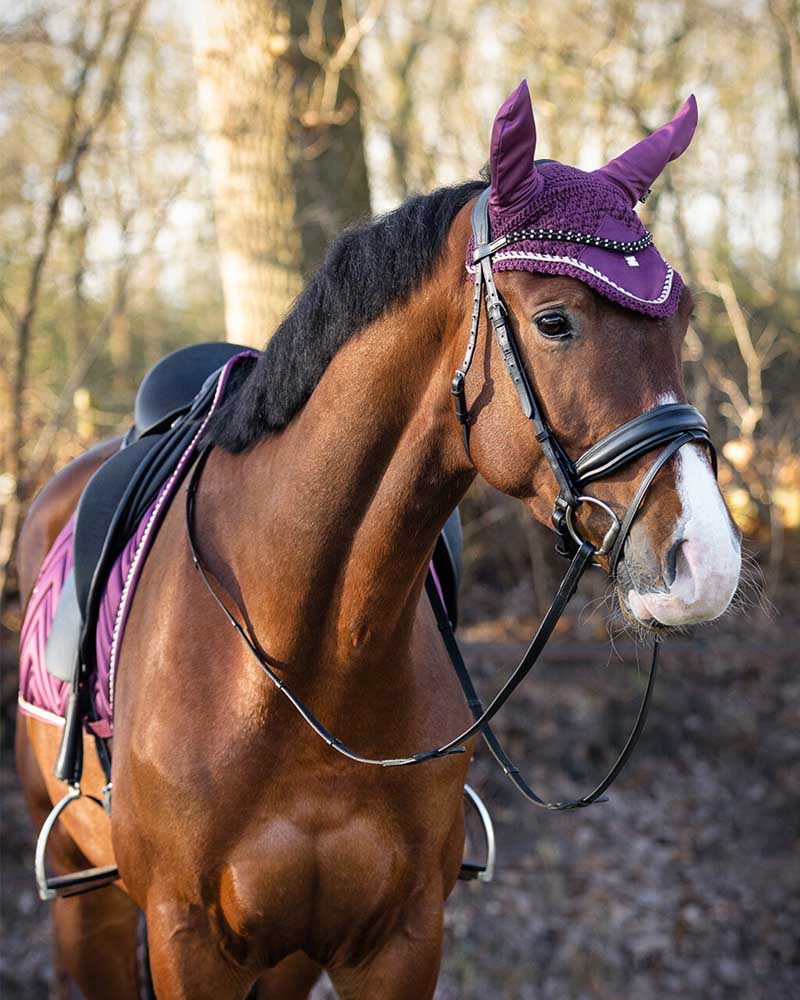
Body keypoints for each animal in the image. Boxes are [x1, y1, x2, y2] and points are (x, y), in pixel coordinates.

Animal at [15, 86, 740, 1000]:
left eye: (681, 318)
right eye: (554, 322)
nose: (707, 563)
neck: (308, 660)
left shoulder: (398, 938)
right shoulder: (188, 941)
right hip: (90, 911)